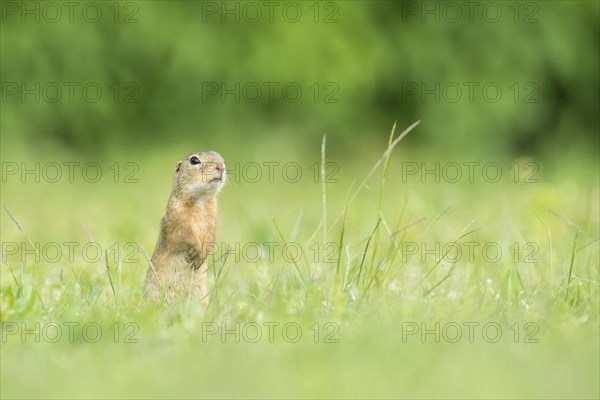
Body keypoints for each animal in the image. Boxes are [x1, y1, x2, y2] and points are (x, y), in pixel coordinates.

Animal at [144, 152, 226, 304]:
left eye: (220, 157)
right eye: (194, 160)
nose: (221, 166)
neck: (201, 201)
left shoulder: (213, 219)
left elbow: (211, 236)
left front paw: (204, 253)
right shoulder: (178, 218)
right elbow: (185, 235)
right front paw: (196, 252)